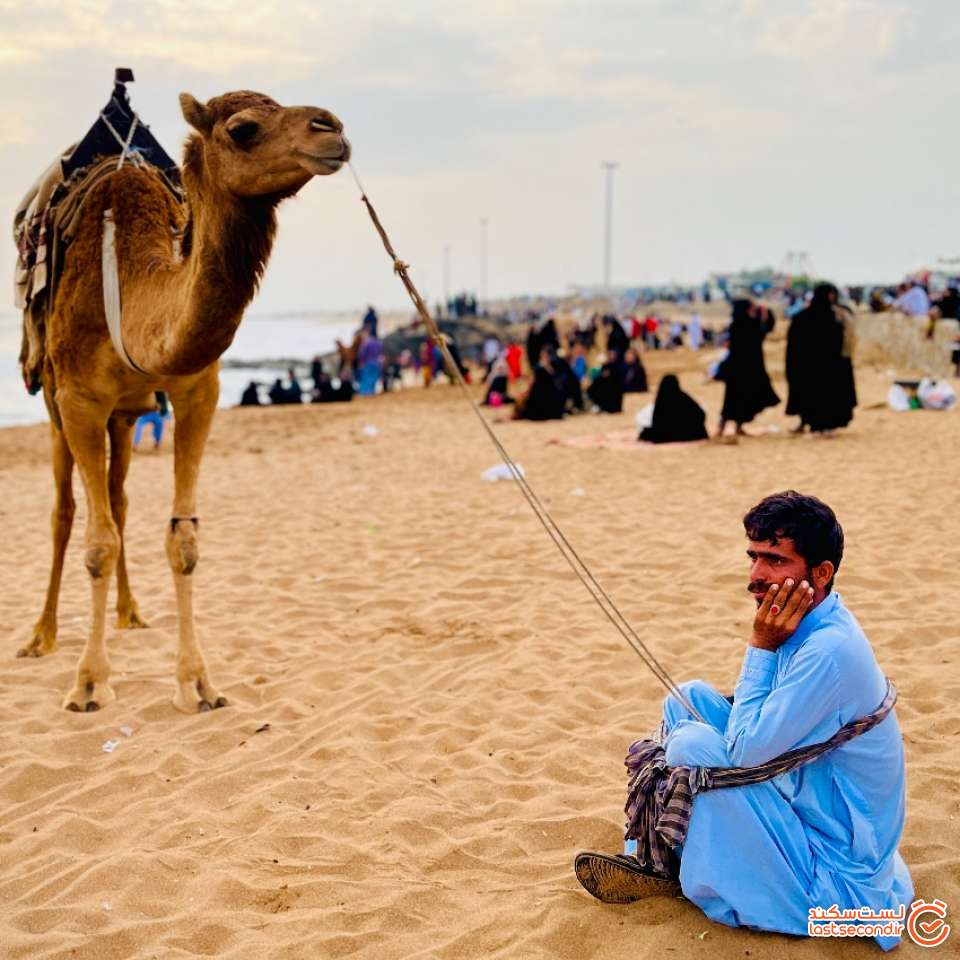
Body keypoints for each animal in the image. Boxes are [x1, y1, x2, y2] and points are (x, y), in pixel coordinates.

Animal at [19, 92, 348, 712]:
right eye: (242, 129)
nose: (333, 129)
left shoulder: (198, 390)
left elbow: (183, 538)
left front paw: (197, 682)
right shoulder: (78, 401)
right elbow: (96, 541)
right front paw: (89, 683)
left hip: (125, 417)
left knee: (119, 499)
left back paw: (130, 612)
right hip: (52, 405)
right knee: (66, 512)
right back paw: (41, 635)